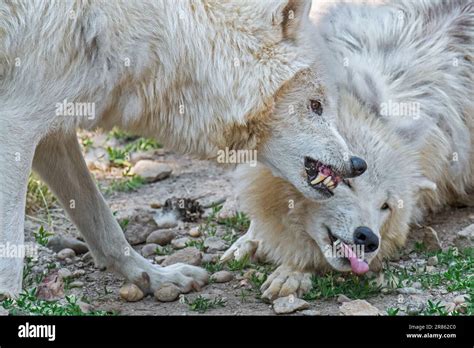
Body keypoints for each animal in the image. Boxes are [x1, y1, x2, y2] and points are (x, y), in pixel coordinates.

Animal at [0, 0, 366, 300]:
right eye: (316, 105)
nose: (357, 163)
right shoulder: (16, 124)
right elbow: (10, 257)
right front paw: (11, 302)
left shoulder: (53, 133)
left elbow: (104, 225)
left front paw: (156, 278)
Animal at [223, 0, 474, 300]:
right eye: (346, 183)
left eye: (386, 206)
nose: (368, 238)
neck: (367, 105)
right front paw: (251, 240)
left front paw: (293, 272)